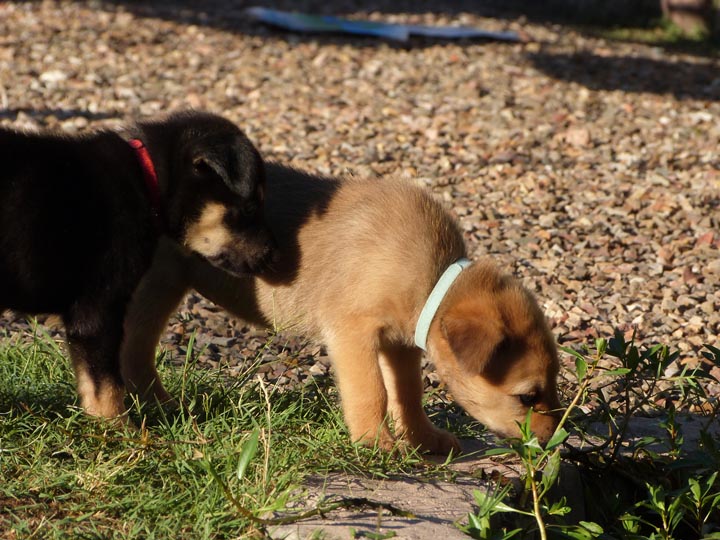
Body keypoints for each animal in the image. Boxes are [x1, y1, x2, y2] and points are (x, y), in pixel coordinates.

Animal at [0, 110, 274, 418]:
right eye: (249, 209)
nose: (272, 255)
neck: (147, 178)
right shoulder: (99, 309)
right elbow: (106, 385)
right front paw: (117, 427)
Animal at [121, 163, 564, 452]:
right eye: (528, 396)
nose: (553, 441)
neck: (433, 277)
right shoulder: (353, 333)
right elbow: (372, 393)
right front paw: (376, 443)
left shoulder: (400, 345)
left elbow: (407, 395)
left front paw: (422, 440)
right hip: (155, 288)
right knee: (133, 352)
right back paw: (152, 407)